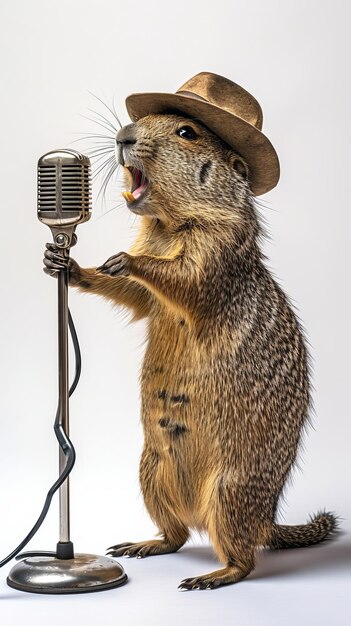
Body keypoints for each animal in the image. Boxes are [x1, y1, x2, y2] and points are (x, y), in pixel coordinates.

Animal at [43, 111, 338, 584]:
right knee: (178, 536)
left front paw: (127, 260)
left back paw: (213, 576)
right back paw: (143, 544)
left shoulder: (217, 248)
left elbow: (186, 277)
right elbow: (136, 296)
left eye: (187, 132)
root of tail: (268, 518)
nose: (124, 135)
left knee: (244, 557)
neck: (167, 226)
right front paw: (68, 265)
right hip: (151, 471)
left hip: (229, 490)